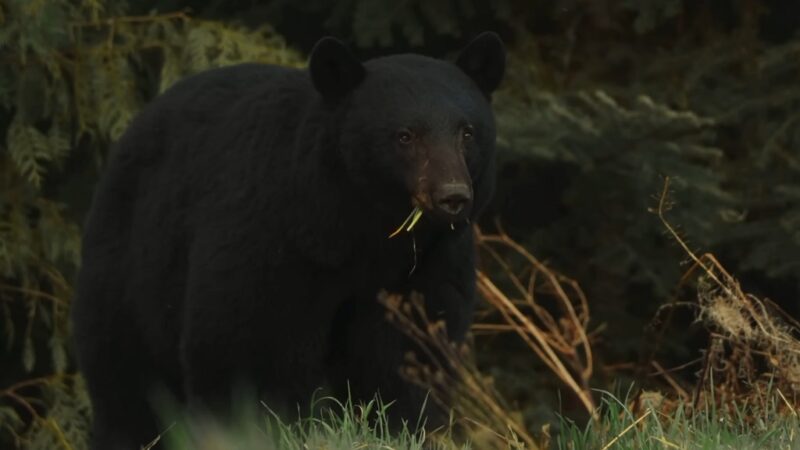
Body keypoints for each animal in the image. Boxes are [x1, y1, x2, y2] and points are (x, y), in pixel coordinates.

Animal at [70, 29, 506, 448]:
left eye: (467, 132)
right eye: (405, 135)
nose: (452, 196)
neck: (362, 230)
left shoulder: (429, 262)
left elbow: (410, 348)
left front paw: (399, 426)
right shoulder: (275, 236)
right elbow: (245, 344)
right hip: (129, 267)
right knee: (125, 378)